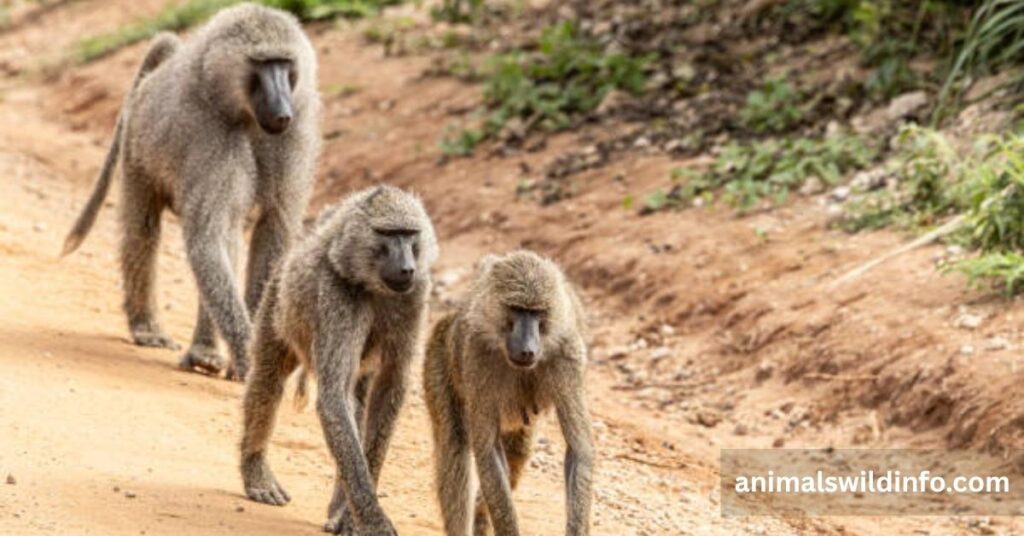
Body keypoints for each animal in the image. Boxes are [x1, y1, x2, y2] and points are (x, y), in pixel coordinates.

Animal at [61, 4, 321, 380]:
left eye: (284, 64)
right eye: (262, 64)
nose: (281, 112)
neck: (242, 112)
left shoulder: (296, 129)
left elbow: (273, 228)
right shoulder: (209, 134)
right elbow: (207, 238)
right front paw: (249, 358)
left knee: (228, 236)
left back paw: (206, 353)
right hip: (136, 148)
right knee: (146, 231)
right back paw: (156, 332)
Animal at [239, 185, 439, 535]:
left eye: (409, 234)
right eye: (388, 234)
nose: (406, 268)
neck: (372, 285)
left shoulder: (416, 294)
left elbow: (390, 386)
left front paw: (351, 515)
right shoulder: (337, 295)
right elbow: (334, 396)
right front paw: (373, 522)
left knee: (356, 402)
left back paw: (338, 509)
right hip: (278, 301)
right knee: (268, 379)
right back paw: (256, 475)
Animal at [423, 250, 594, 536]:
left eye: (537, 313)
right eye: (517, 309)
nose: (527, 349)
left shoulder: (566, 354)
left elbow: (579, 449)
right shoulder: (477, 354)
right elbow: (487, 451)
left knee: (516, 455)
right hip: (439, 353)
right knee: (454, 445)